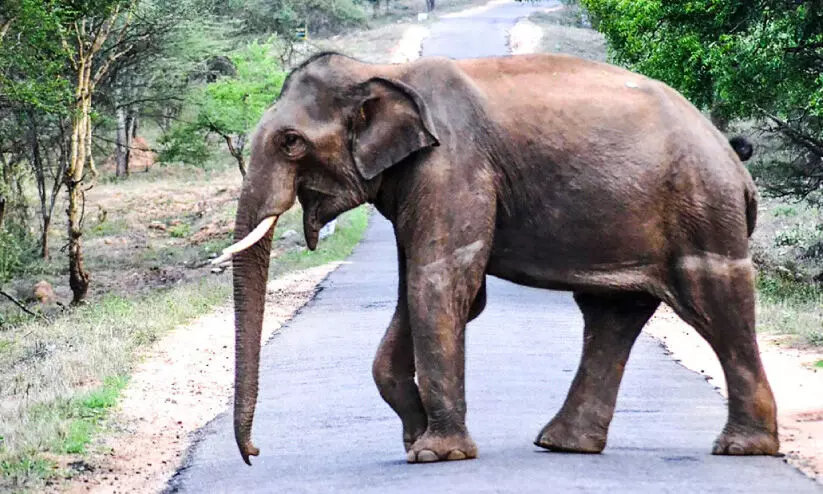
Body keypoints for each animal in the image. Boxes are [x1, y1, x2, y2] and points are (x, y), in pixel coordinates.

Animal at [217, 51, 778, 465]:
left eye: (291, 142)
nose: (254, 454)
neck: (384, 72)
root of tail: (735, 163)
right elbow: (422, 289)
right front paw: (416, 439)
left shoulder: (452, 165)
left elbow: (441, 282)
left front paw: (436, 455)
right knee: (611, 314)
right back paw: (562, 444)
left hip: (703, 208)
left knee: (715, 298)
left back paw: (742, 447)